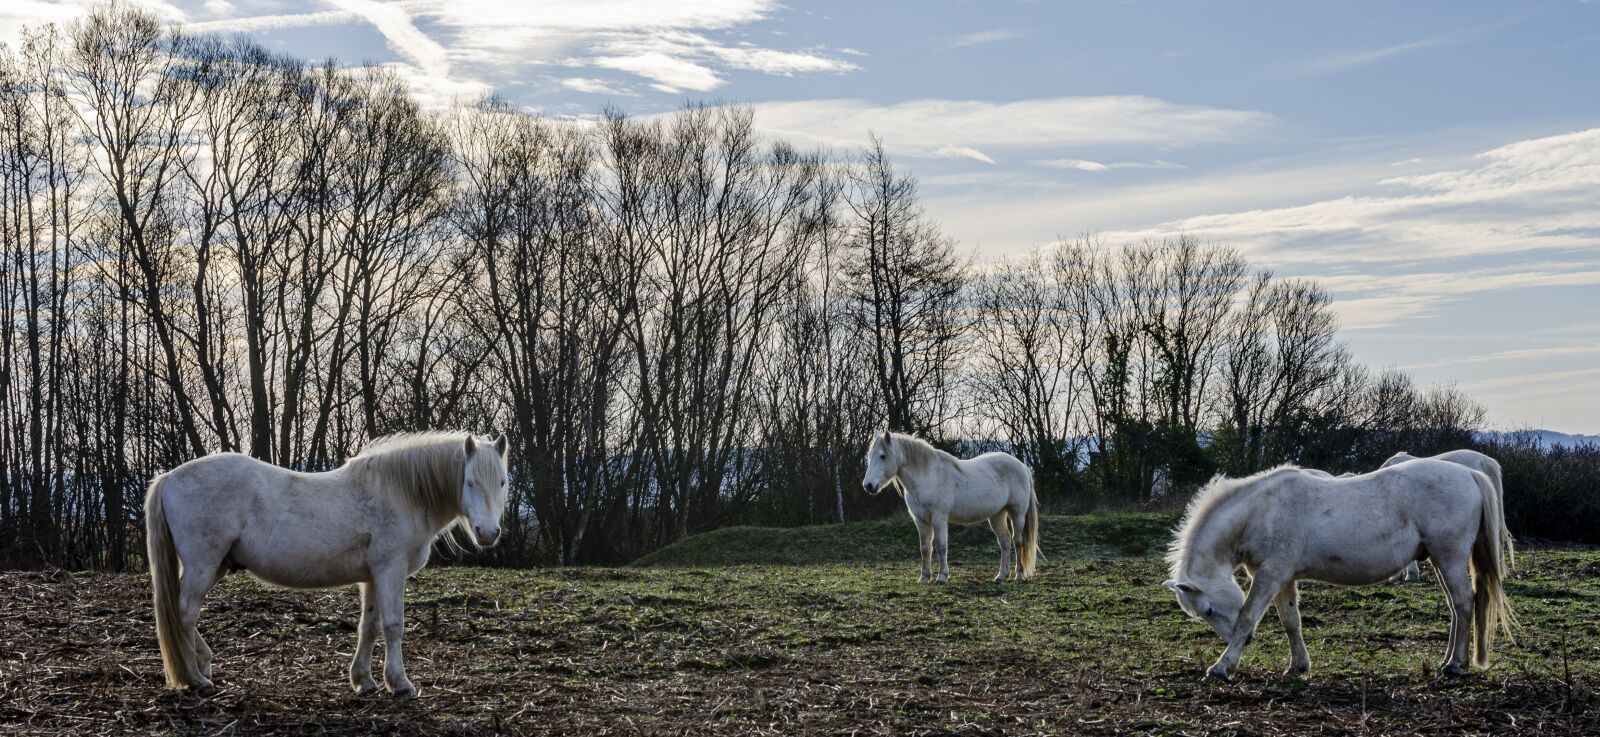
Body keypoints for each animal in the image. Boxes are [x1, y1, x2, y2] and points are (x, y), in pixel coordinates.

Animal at [144, 431, 510, 696]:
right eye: (470, 481)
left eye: (503, 482)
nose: (488, 533)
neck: (400, 493)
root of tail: (169, 477)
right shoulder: (390, 571)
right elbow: (393, 626)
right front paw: (400, 683)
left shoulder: (372, 577)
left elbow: (369, 626)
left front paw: (363, 681)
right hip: (203, 564)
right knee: (185, 613)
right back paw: (195, 678)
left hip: (215, 565)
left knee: (181, 614)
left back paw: (202, 665)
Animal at [861, 431, 1039, 583]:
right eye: (870, 456)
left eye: (882, 456)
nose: (868, 486)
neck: (927, 477)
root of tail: (1022, 466)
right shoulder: (920, 520)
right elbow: (925, 549)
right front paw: (924, 578)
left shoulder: (939, 518)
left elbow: (941, 546)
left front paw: (942, 577)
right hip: (997, 515)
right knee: (1005, 542)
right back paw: (1002, 575)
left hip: (1017, 513)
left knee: (1017, 542)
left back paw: (1019, 575)